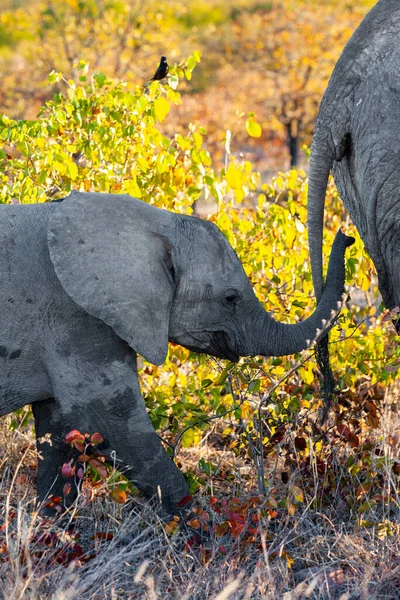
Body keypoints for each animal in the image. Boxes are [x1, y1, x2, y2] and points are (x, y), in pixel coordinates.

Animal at [0, 191, 354, 510]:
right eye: (230, 299)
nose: (347, 235)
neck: (155, 224)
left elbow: (60, 437)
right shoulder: (77, 319)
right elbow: (111, 428)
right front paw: (201, 531)